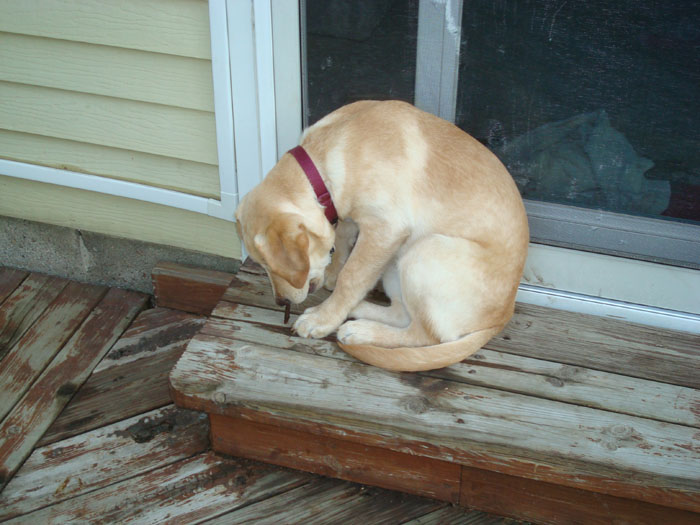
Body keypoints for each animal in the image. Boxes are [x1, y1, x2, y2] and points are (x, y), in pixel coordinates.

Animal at [235, 100, 529, 371]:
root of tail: (503, 316)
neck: (325, 156)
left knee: (424, 335)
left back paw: (361, 331)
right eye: (261, 266)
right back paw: (359, 313)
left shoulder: (386, 228)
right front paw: (333, 281)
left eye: (271, 267)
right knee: (401, 314)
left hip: (423, 252)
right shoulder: (350, 217)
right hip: (395, 263)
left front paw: (323, 318)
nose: (281, 302)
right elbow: (341, 246)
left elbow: (351, 277)